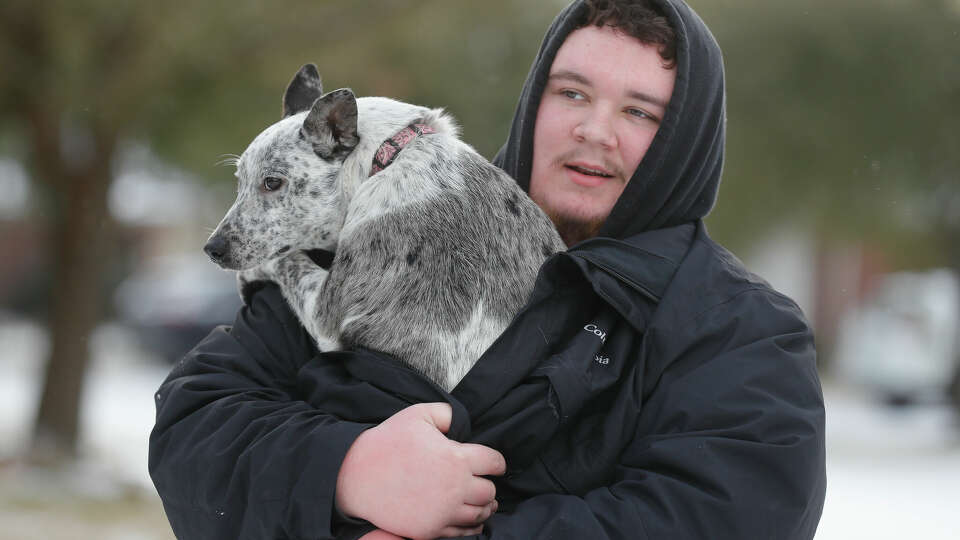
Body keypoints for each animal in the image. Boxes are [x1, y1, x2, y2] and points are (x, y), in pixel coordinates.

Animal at [202, 65, 564, 390]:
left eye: (272, 182)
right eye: (239, 181)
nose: (212, 249)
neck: (387, 157)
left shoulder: (324, 315)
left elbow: (284, 260)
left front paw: (249, 276)